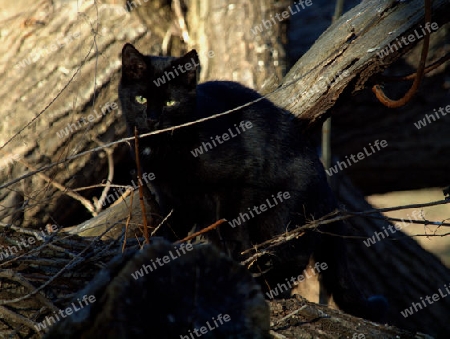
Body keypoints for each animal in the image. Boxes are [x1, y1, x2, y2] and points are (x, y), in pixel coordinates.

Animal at [118, 43, 386, 322]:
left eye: (171, 102)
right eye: (140, 99)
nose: (153, 119)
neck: (165, 148)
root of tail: (326, 185)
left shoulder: (237, 181)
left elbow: (233, 229)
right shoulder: (169, 194)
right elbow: (172, 228)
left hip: (279, 216)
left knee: (291, 256)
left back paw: (265, 289)